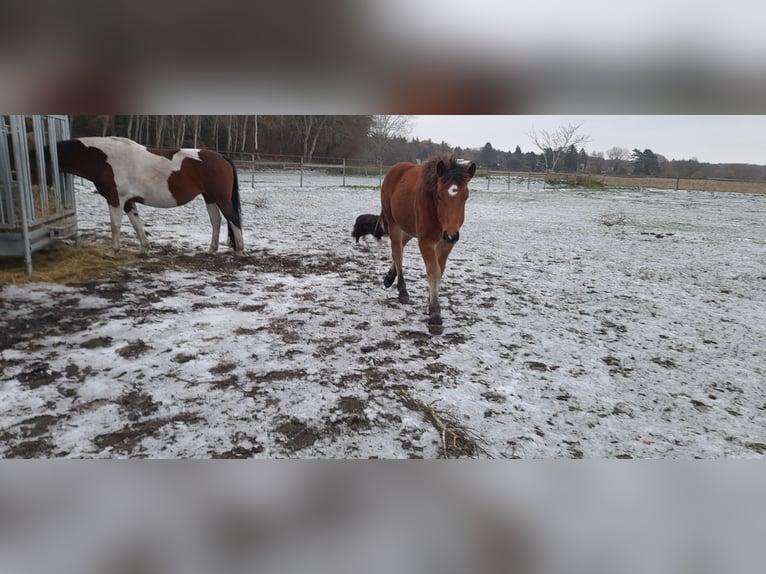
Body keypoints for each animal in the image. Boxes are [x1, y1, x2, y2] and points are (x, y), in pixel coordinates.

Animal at [34, 137, 242, 256]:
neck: (104, 159)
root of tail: (222, 158)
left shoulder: (115, 200)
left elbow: (115, 225)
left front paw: (112, 251)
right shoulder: (128, 202)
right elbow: (136, 224)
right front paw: (144, 248)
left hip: (221, 199)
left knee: (233, 220)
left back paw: (239, 250)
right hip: (210, 198)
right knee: (216, 221)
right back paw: (211, 250)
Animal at [380, 153, 476, 336]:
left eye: (465, 197)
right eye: (439, 196)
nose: (451, 234)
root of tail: (395, 169)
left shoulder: (445, 244)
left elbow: (440, 269)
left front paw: (430, 301)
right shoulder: (425, 240)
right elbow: (433, 272)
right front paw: (435, 315)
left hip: (409, 228)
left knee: (401, 246)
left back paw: (389, 277)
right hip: (394, 223)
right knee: (397, 252)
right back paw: (402, 289)